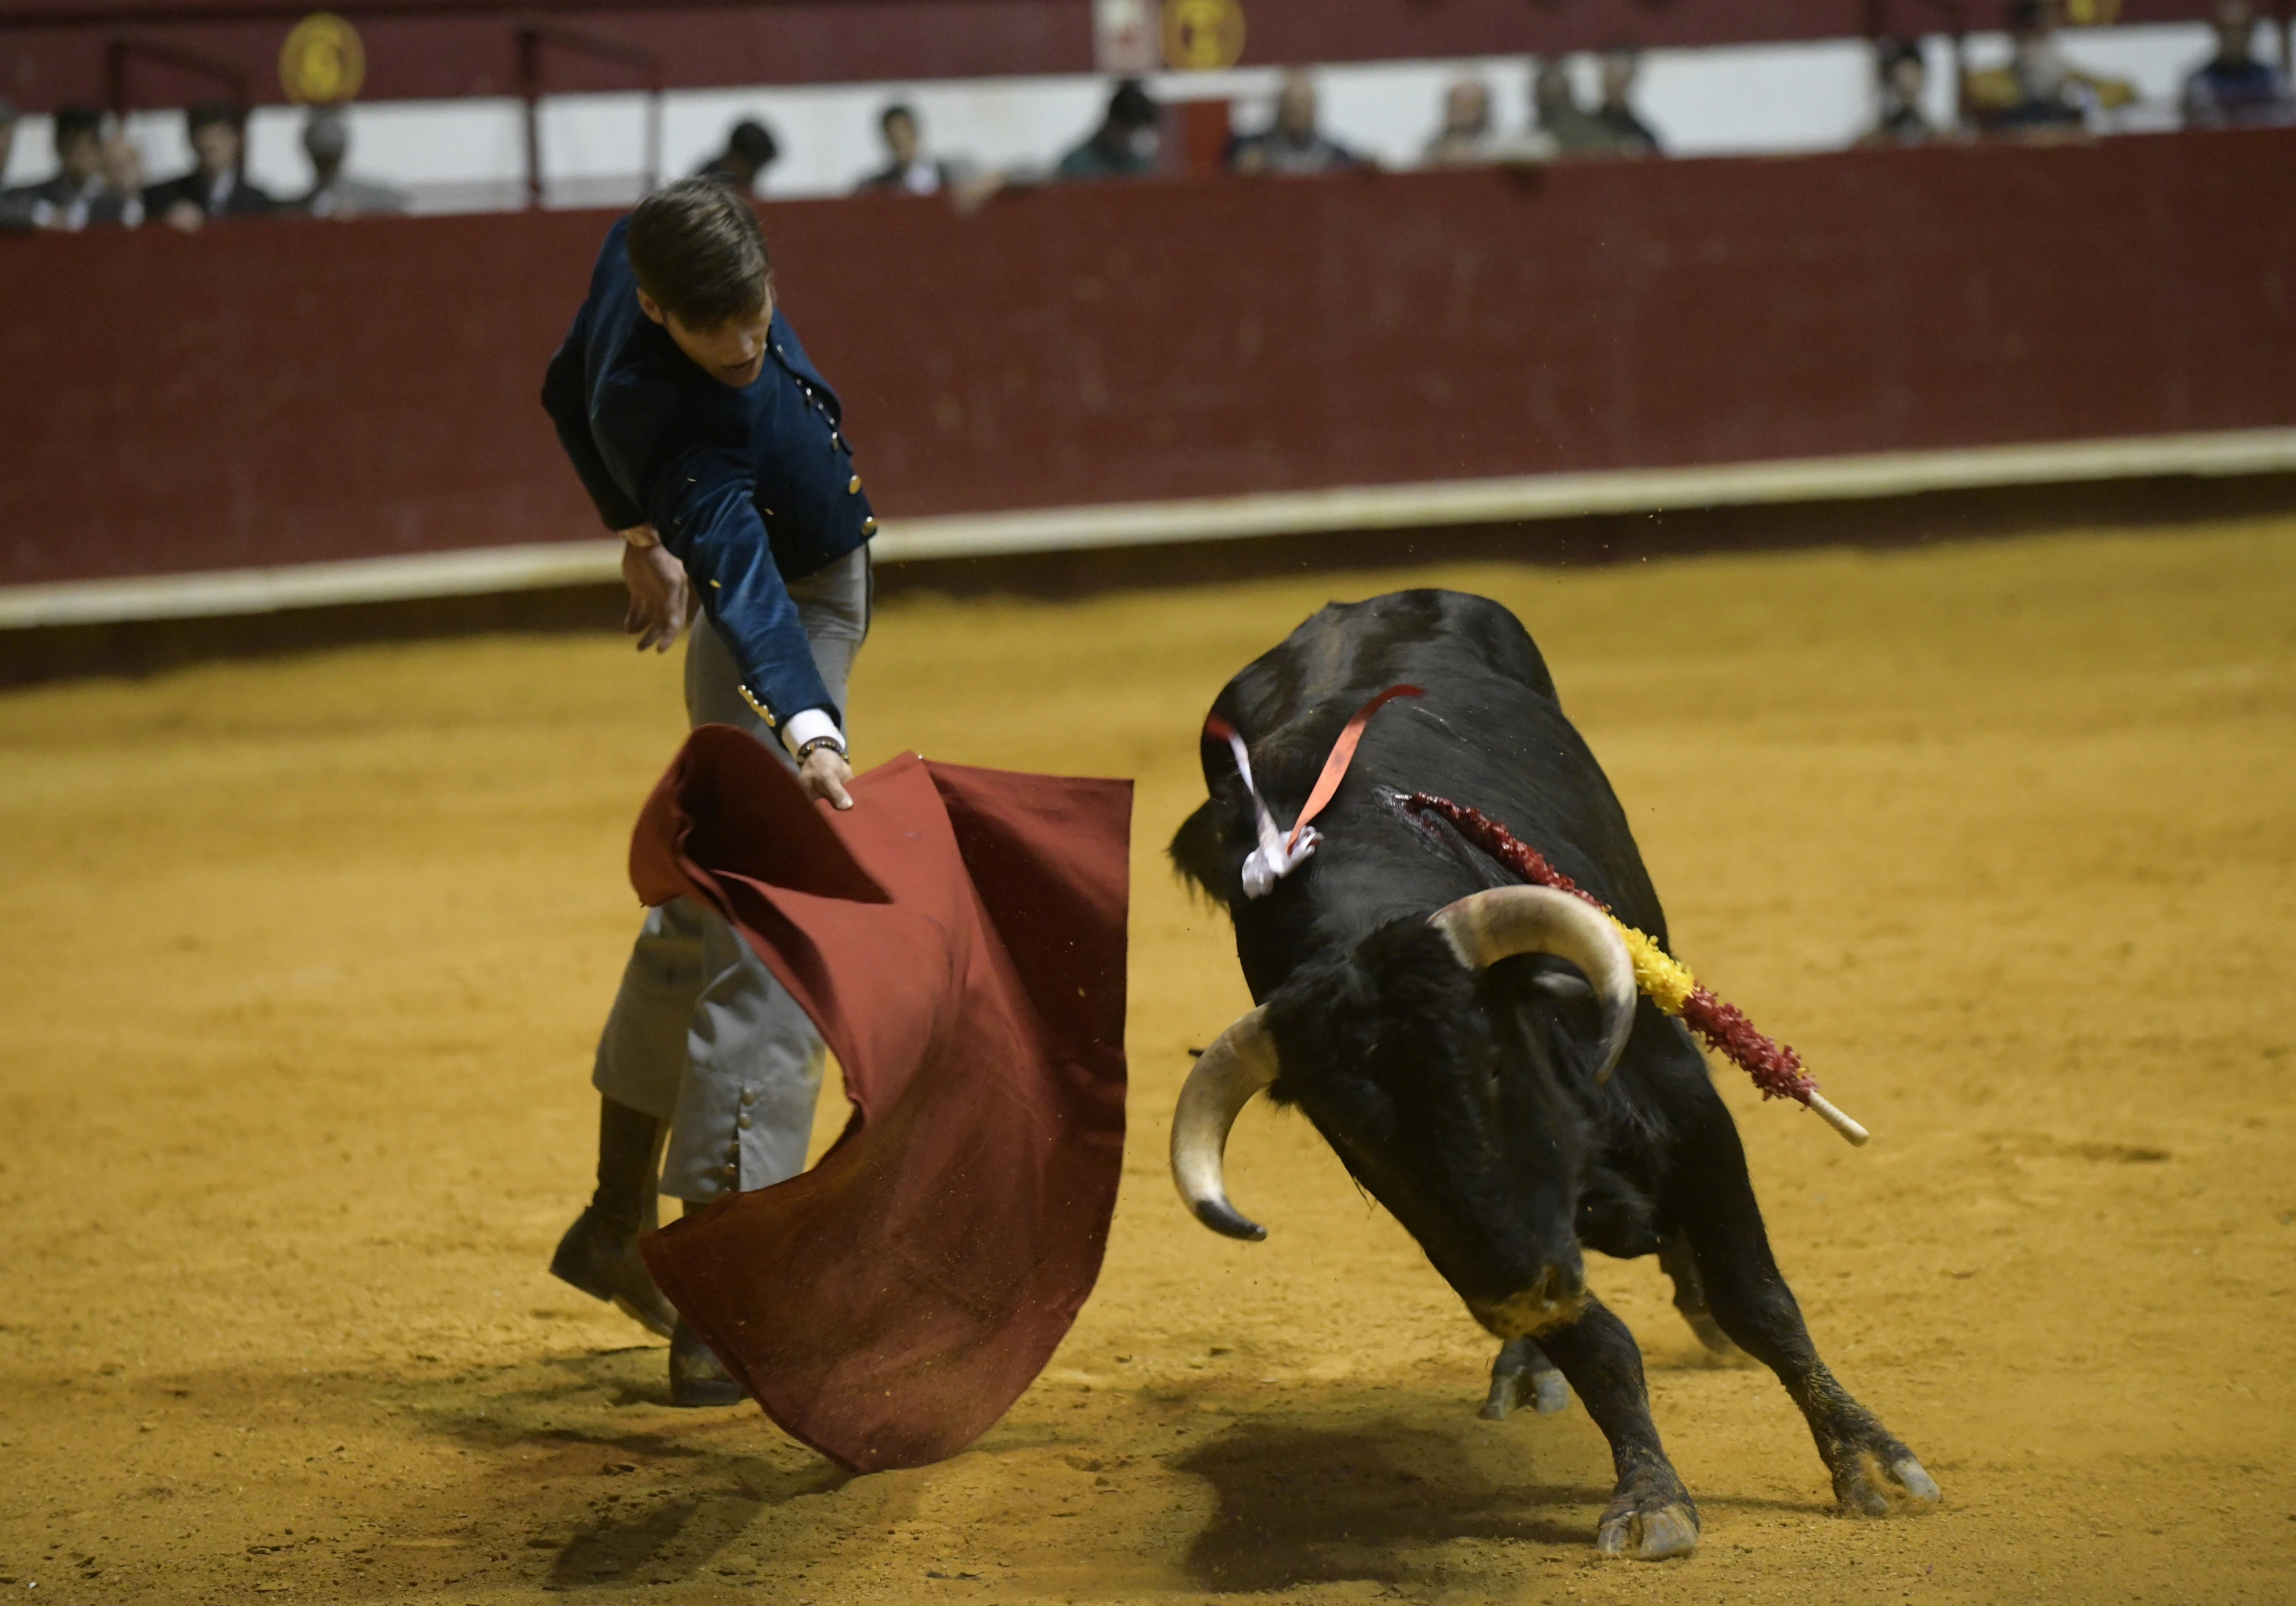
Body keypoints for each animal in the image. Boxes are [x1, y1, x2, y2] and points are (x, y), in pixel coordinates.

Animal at [1166, 592, 1938, 1562]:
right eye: (1359, 1138)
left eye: (1494, 1062)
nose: (1517, 1294)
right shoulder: (1453, 1231)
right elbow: (1597, 1345)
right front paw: (1648, 1497)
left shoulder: (1693, 1119)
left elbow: (1759, 1301)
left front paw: (1869, 1461)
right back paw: (1530, 1366)